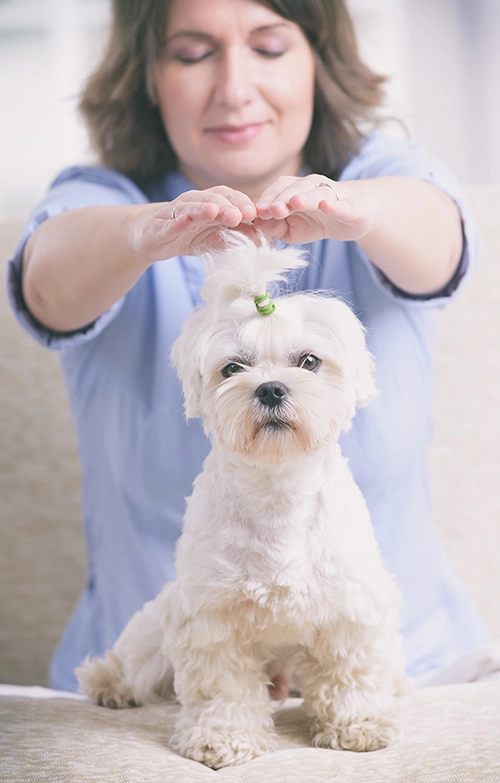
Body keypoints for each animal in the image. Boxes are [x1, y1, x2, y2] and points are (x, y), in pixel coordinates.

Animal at [76, 233, 408, 772]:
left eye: (309, 361)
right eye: (233, 368)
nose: (270, 388)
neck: (277, 493)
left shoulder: (349, 608)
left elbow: (350, 675)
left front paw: (360, 726)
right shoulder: (211, 618)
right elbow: (222, 688)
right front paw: (223, 740)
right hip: (156, 628)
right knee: (135, 663)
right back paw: (110, 684)